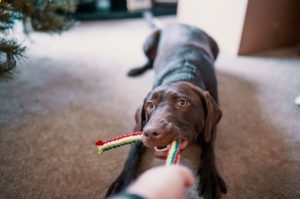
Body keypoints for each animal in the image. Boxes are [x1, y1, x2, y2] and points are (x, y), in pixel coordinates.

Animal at [106, 24, 226, 198]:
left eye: (182, 103)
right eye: (150, 105)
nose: (151, 132)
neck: (182, 73)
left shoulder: (211, 125)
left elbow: (209, 148)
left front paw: (209, 178)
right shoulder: (140, 125)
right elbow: (132, 153)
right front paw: (122, 182)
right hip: (148, 42)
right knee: (149, 62)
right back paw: (135, 70)